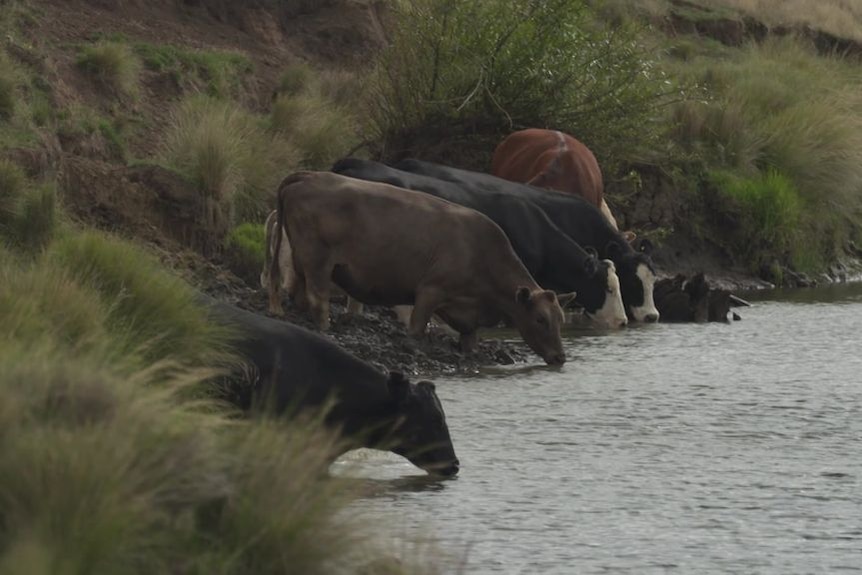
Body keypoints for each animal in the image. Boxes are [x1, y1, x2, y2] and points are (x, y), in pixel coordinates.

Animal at [270, 173, 576, 366]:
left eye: (561, 320)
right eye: (540, 319)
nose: (560, 357)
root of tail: (308, 175)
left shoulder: (469, 319)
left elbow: (470, 342)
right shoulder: (430, 291)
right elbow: (416, 328)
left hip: (300, 259)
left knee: (297, 291)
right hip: (318, 260)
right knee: (317, 297)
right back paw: (325, 328)